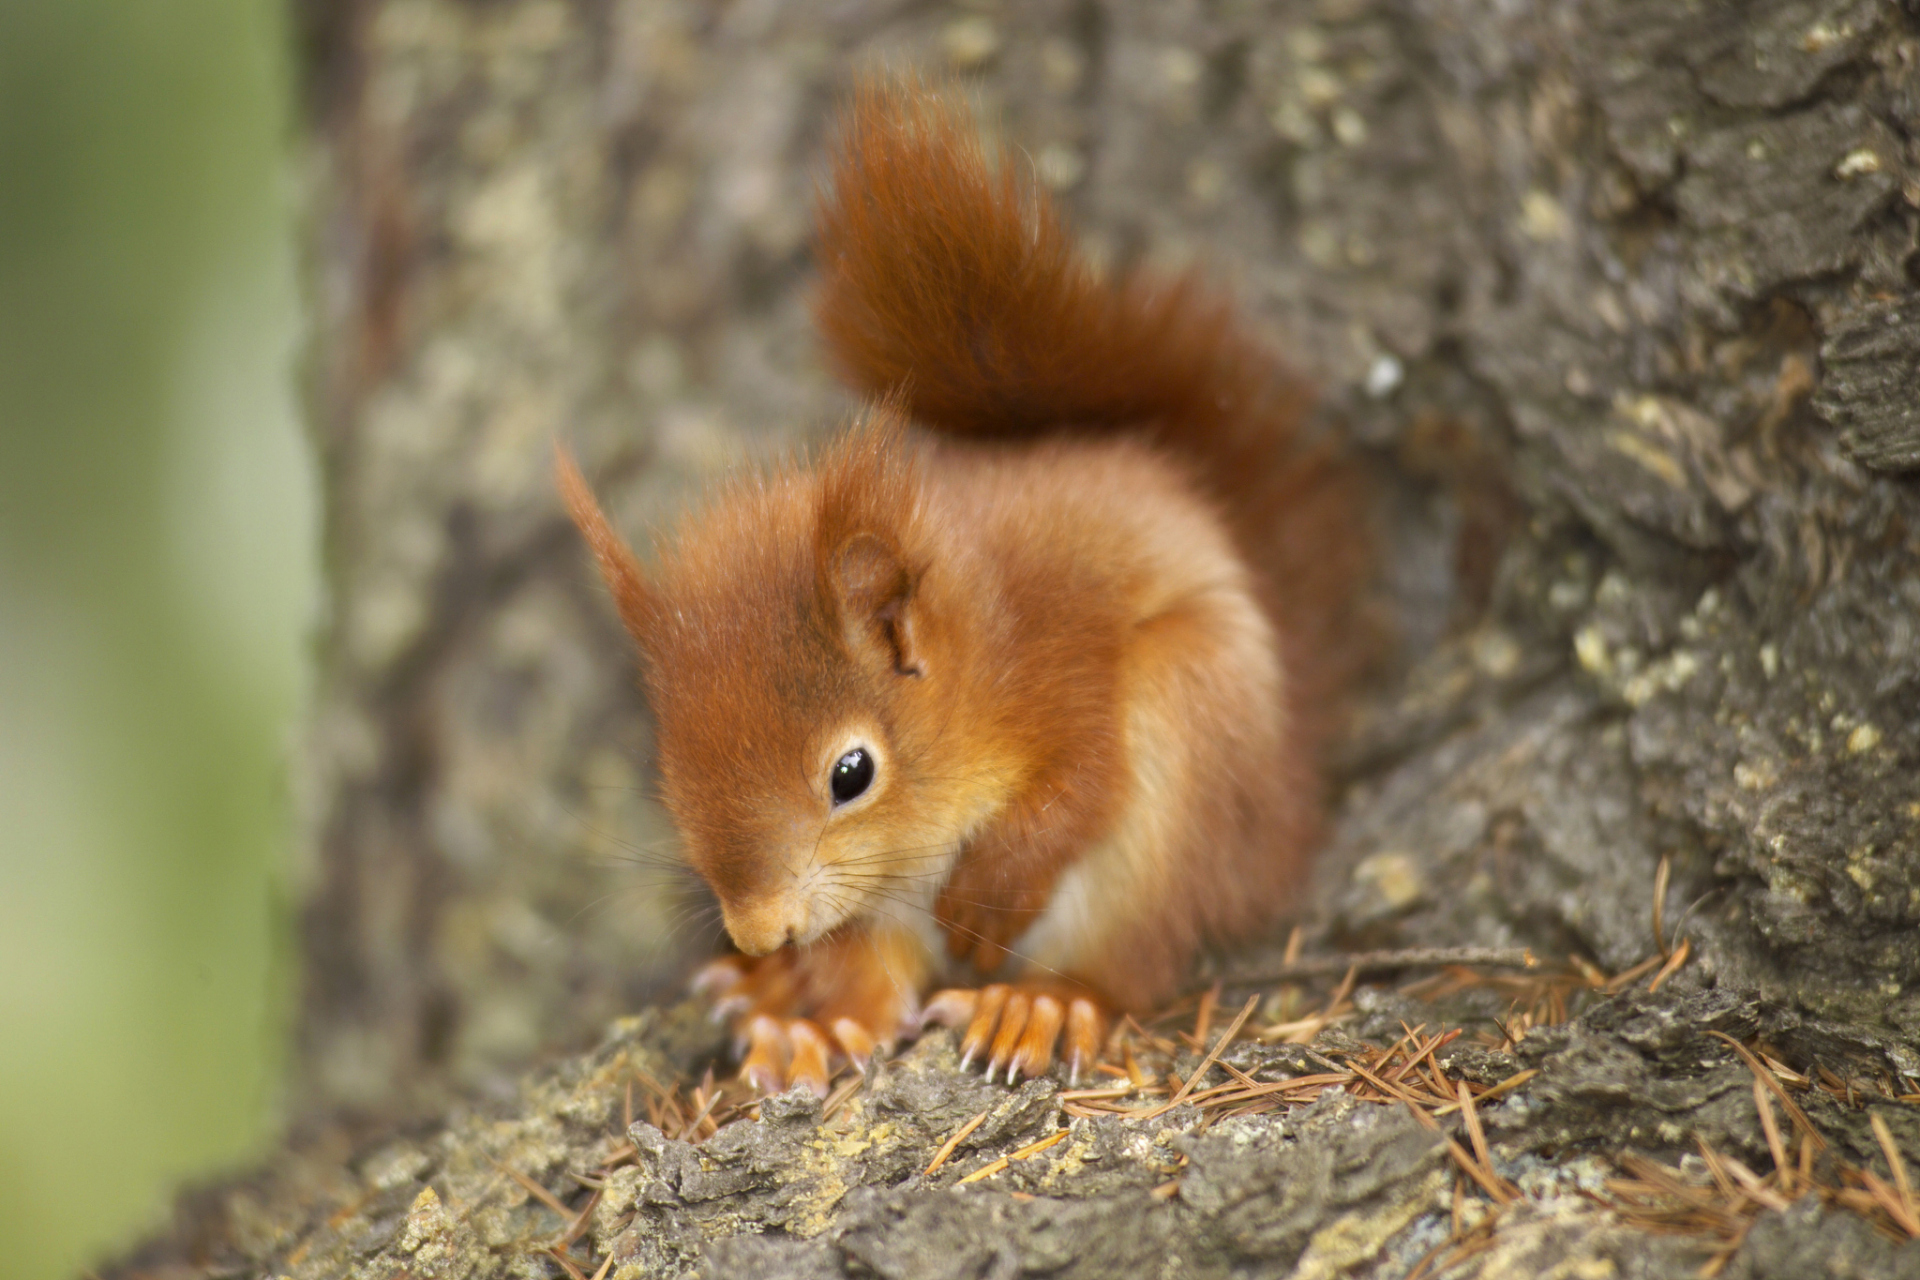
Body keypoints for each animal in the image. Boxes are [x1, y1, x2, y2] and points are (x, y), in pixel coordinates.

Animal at [552, 77, 1367, 1090]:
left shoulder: (1062, 650)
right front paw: (820, 1007)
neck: (971, 665)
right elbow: (863, 951)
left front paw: (986, 900)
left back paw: (1038, 1003)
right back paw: (808, 1019)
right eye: (667, 772)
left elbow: (1082, 782)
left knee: (1130, 957)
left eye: (851, 774)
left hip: (1190, 731)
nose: (759, 932)